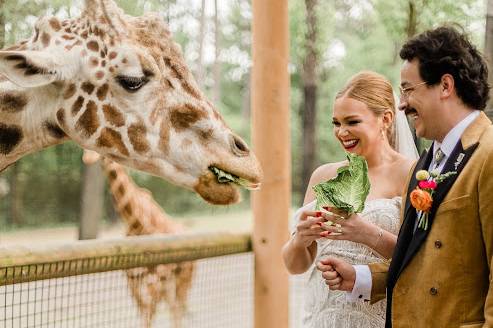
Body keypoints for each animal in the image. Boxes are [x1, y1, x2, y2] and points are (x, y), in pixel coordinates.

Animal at [83, 151, 193, 328]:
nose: (87, 159)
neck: (137, 223)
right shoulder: (133, 279)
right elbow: (144, 314)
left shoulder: (154, 281)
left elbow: (149, 315)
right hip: (168, 283)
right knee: (174, 309)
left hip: (184, 279)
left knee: (177, 310)